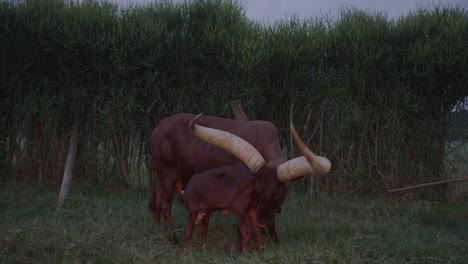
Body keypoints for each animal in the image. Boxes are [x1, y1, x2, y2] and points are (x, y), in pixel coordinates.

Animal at [149, 112, 330, 243]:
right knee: (166, 205)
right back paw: (173, 239)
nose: (262, 222)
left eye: (278, 195)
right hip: (166, 175)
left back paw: (157, 229)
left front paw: (274, 240)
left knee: (156, 200)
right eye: (259, 191)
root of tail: (162, 122)